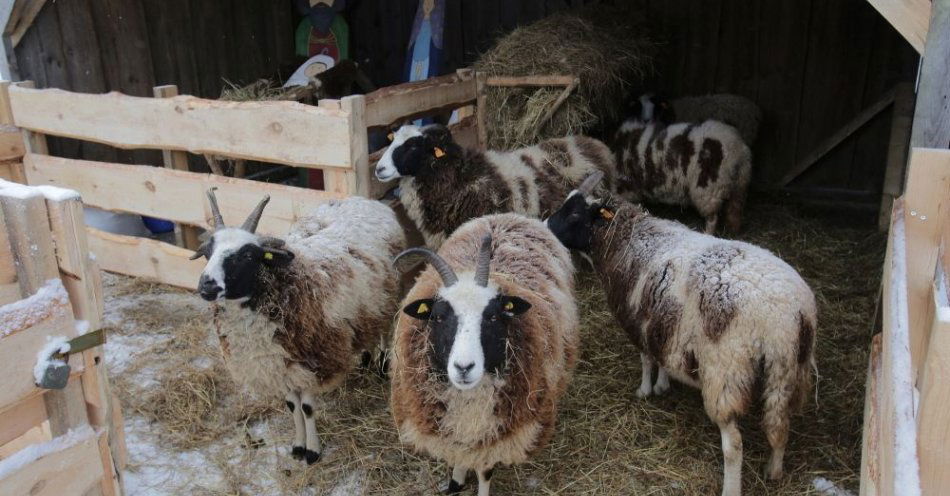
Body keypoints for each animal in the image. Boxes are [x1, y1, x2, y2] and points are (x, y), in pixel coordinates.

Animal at [193, 189, 406, 464]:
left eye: (248, 255)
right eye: (208, 252)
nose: (206, 285)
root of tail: (360, 199)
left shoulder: (311, 362)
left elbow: (306, 408)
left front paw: (313, 451)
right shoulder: (278, 366)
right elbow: (293, 407)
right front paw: (297, 446)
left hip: (389, 294)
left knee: (386, 327)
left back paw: (381, 363)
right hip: (367, 305)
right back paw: (366, 357)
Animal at [388, 213, 580, 496]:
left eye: (492, 316)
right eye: (438, 317)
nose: (463, 367)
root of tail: (509, 216)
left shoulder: (495, 437)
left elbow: (485, 471)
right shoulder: (452, 432)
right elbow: (458, 456)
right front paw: (456, 482)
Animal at [548, 171, 820, 496]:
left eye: (574, 213)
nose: (545, 226)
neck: (628, 239)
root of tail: (783, 315)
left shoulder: (639, 318)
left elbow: (646, 358)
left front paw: (645, 390)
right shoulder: (665, 324)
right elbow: (663, 356)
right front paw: (663, 384)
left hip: (724, 373)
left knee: (734, 444)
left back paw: (731, 486)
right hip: (788, 370)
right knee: (780, 424)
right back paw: (774, 469)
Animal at [612, 95, 756, 234]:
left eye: (656, 109)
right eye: (638, 106)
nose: (647, 120)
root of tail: (738, 148)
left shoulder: (626, 187)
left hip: (708, 187)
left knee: (712, 218)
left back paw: (707, 234)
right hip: (740, 186)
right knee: (734, 213)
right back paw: (732, 233)